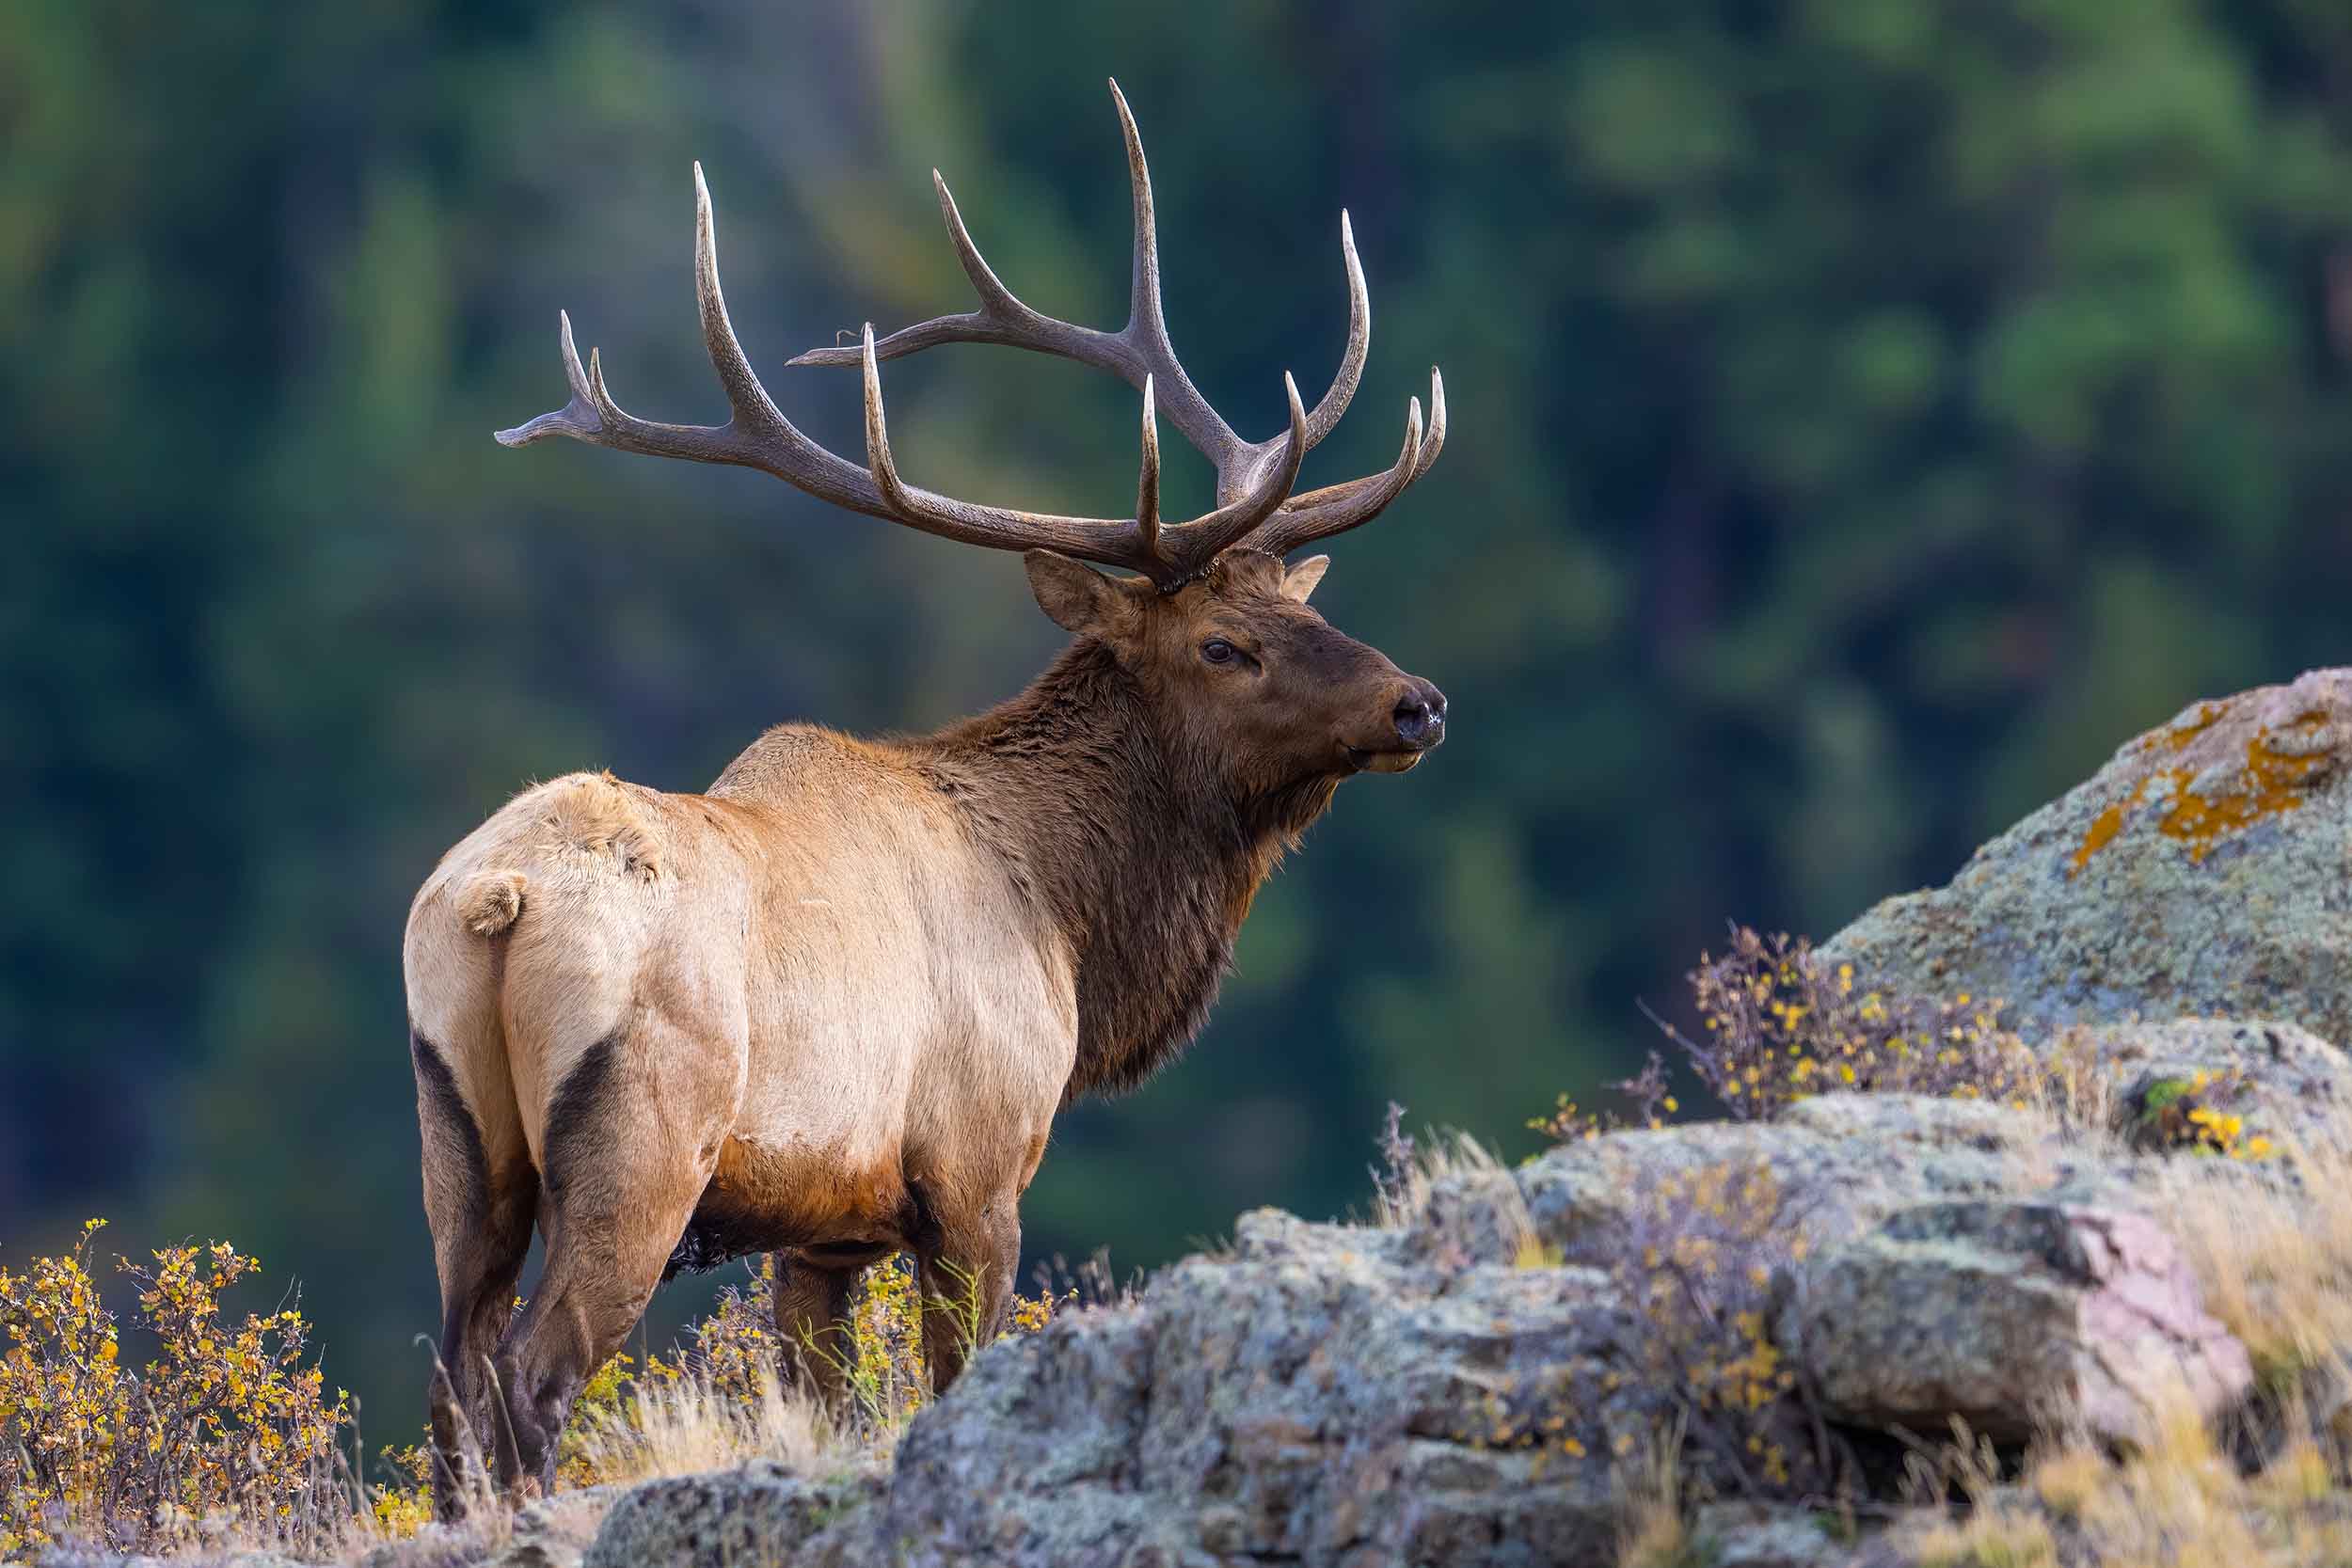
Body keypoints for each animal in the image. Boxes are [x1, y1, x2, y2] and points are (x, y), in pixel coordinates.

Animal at [405, 79, 1447, 1507]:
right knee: (530, 1376)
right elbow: (953, 1379)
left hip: (457, 1142)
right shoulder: (976, 1168)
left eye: (1302, 604)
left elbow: (825, 1398)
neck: (1069, 914)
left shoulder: (822, 1231)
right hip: (643, 1141)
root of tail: (500, 900)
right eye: (1223, 644)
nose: (1417, 703)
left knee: (452, 1377)